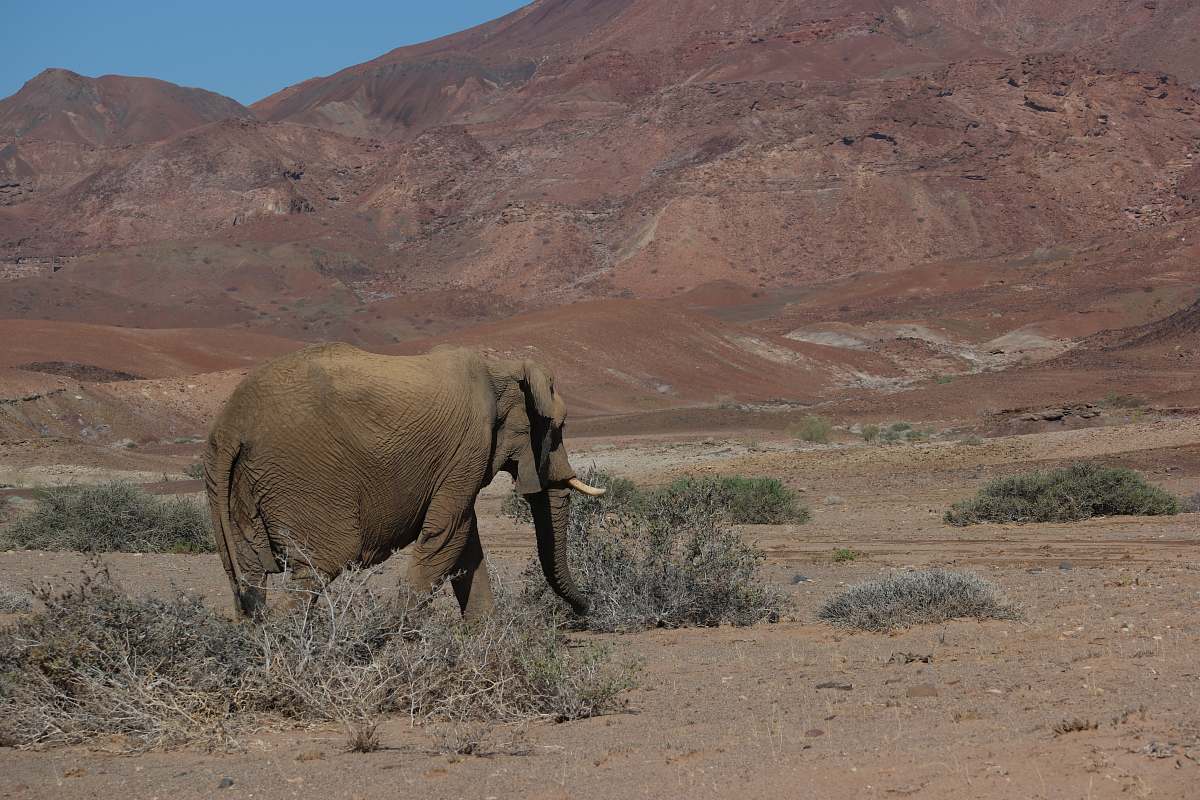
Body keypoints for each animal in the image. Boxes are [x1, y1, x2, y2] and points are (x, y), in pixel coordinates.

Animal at [202, 343, 609, 618]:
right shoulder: (469, 446)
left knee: (248, 579)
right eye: (558, 429)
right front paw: (393, 636)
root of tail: (230, 427)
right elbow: (447, 535)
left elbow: (465, 544)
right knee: (317, 569)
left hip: (228, 484)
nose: (588, 608)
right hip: (301, 477)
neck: (501, 368)